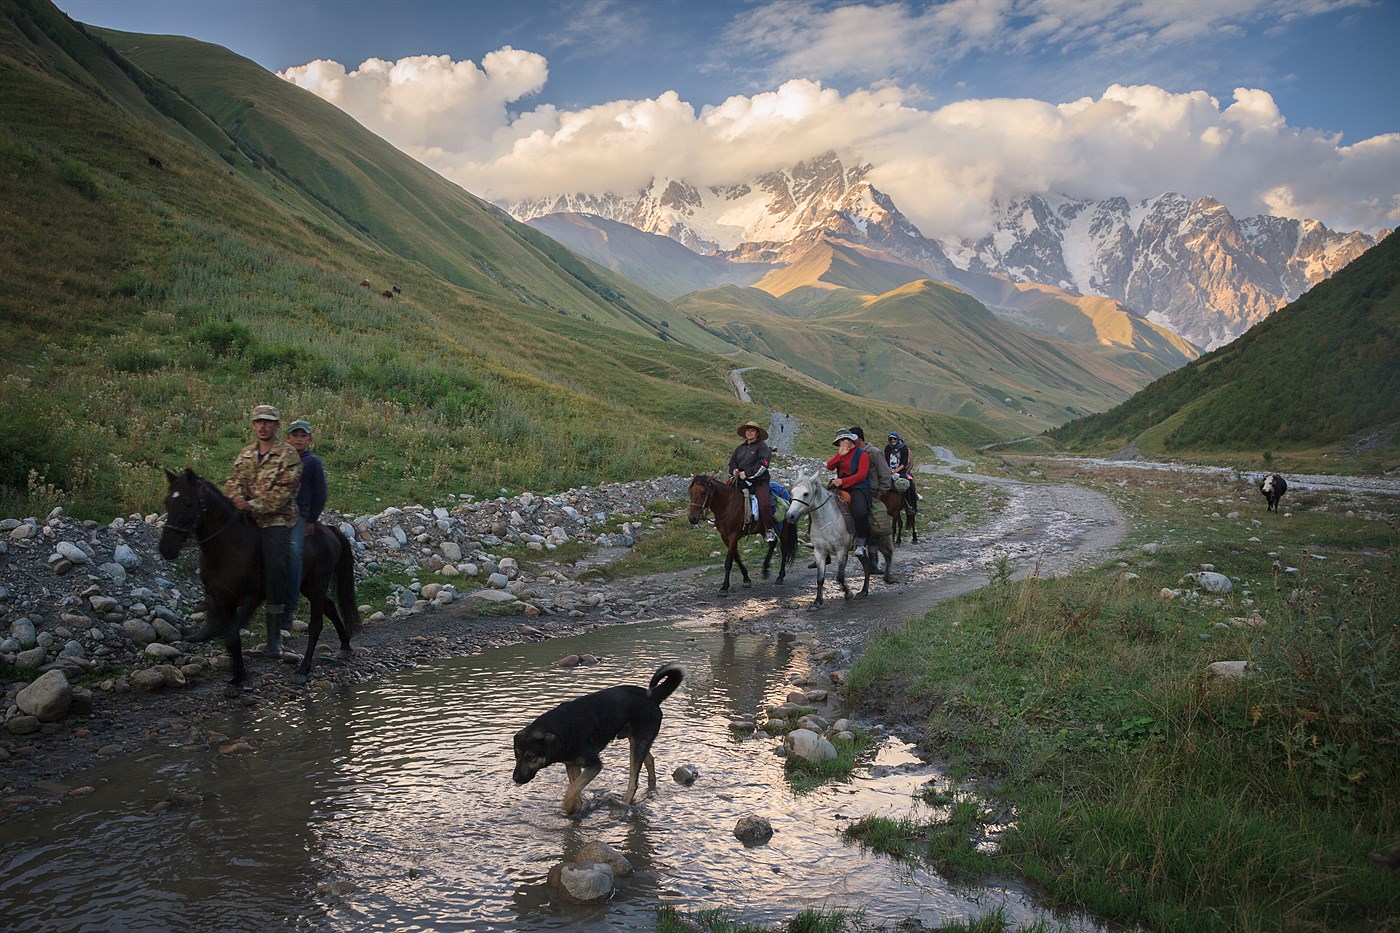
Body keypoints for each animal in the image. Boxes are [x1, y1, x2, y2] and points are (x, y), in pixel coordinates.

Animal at [515, 664, 688, 812]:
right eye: (516, 755)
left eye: (531, 757)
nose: (515, 778)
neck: (560, 728)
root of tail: (652, 696)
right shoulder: (572, 764)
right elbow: (574, 787)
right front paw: (576, 807)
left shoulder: (594, 765)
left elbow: (571, 789)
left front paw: (570, 806)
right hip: (637, 740)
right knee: (650, 760)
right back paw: (651, 787)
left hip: (639, 741)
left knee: (633, 782)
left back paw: (624, 804)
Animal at [789, 467, 896, 607]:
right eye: (792, 492)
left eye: (806, 494)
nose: (790, 516)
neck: (826, 520)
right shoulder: (819, 551)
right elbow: (820, 578)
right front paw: (817, 602)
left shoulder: (841, 551)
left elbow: (839, 576)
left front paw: (848, 593)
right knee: (867, 567)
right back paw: (863, 591)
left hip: (882, 541)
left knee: (888, 555)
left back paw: (888, 577)